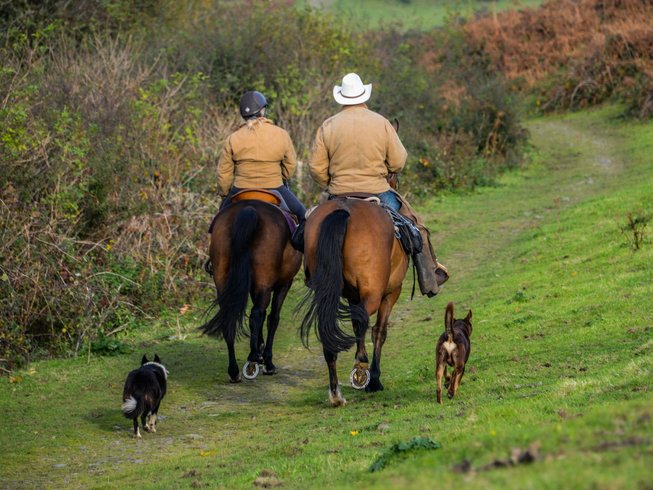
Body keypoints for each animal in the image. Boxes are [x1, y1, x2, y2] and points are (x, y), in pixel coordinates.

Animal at [201, 194, 302, 382]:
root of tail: (249, 210)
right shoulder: (284, 284)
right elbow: (272, 318)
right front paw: (267, 360)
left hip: (223, 279)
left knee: (231, 317)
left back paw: (234, 371)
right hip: (265, 281)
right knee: (258, 314)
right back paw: (253, 360)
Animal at [299, 196, 409, 406]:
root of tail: (343, 210)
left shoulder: (352, 296)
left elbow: (358, 326)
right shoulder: (391, 293)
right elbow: (378, 332)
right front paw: (374, 380)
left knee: (329, 333)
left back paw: (336, 395)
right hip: (374, 294)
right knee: (365, 320)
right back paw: (361, 370)